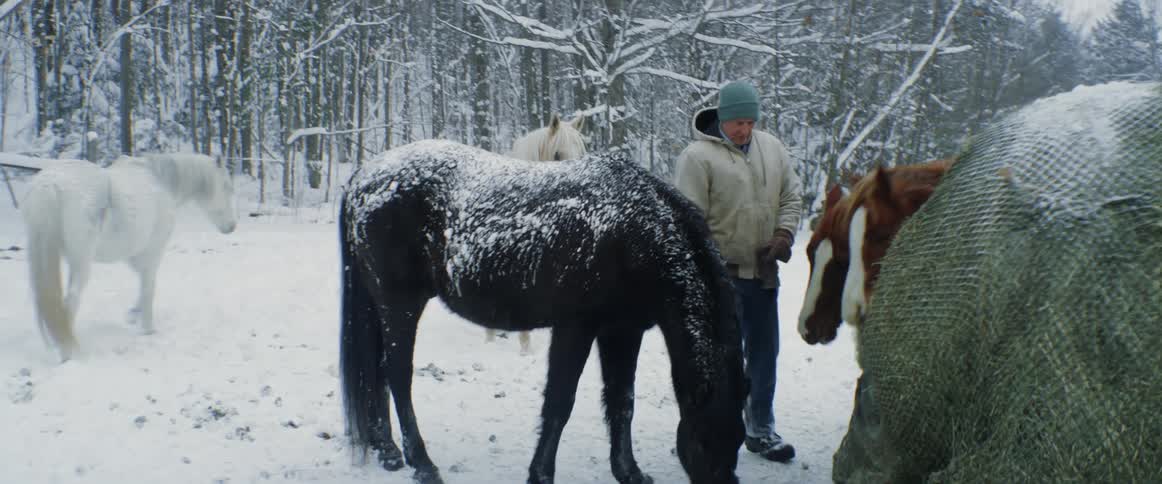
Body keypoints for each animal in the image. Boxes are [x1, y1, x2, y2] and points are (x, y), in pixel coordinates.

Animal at [22, 153, 237, 362]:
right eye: (226, 186)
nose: (231, 227)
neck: (161, 181)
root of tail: (51, 184)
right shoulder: (152, 252)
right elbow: (149, 288)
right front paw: (148, 328)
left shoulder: (134, 254)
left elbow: (142, 284)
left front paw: (133, 315)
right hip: (81, 264)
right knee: (70, 302)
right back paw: (67, 352)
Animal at [339, 140, 747, 484]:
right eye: (704, 439)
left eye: (739, 438)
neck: (636, 231)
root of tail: (365, 176)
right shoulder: (575, 328)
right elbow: (560, 402)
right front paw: (541, 474)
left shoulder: (622, 330)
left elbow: (622, 400)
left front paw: (628, 471)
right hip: (400, 305)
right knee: (397, 374)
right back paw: (421, 463)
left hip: (381, 307)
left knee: (377, 371)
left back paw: (387, 449)